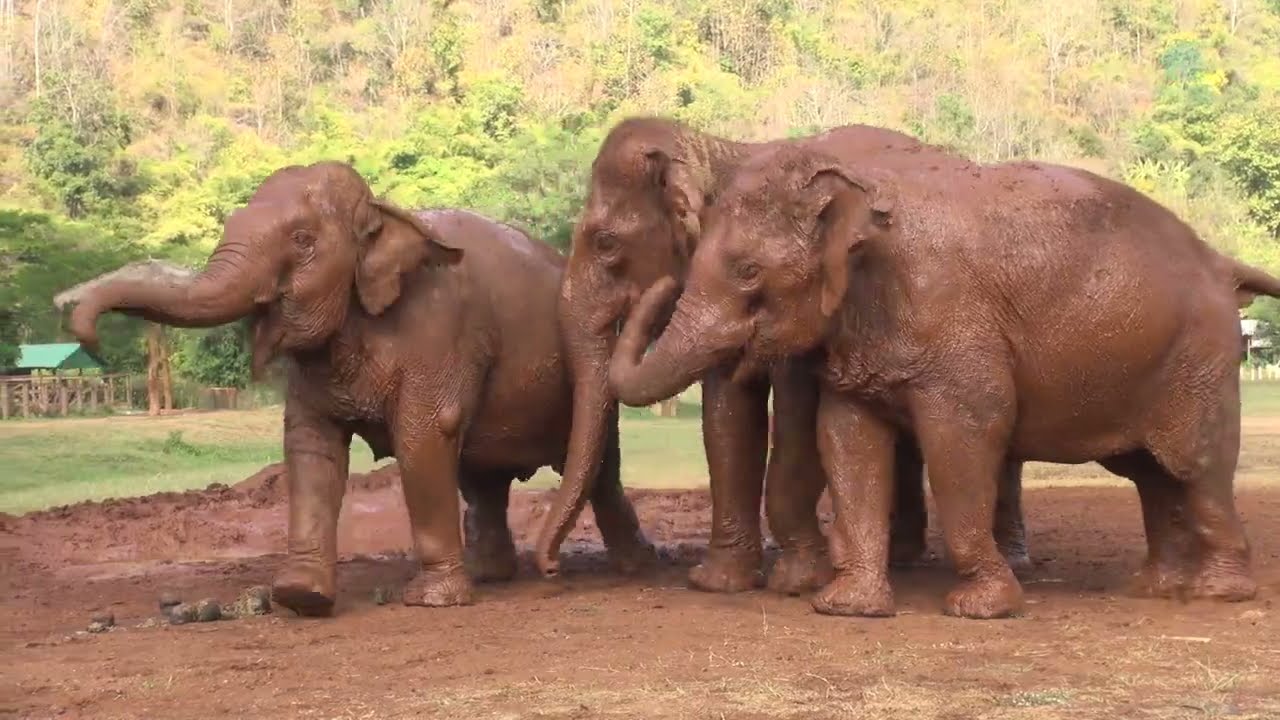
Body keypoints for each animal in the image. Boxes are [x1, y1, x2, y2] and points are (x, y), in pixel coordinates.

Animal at [63, 161, 654, 616]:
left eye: (302, 241)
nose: (83, 330)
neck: (383, 212)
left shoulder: (441, 330)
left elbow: (423, 437)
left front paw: (431, 601)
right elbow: (310, 448)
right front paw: (301, 597)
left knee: (601, 471)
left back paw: (630, 567)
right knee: (482, 478)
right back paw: (490, 575)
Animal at [542, 116, 1030, 596]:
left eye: (605, 243)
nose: (550, 569)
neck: (720, 149)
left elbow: (797, 419)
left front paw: (797, 580)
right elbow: (727, 414)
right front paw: (720, 582)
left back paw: (1005, 560)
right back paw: (904, 556)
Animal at [608, 141, 1277, 619]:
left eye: (748, 271)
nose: (655, 283)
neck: (857, 195)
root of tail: (1221, 263)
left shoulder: (956, 326)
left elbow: (964, 436)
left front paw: (981, 610)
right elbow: (847, 438)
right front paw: (848, 609)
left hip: (1201, 360)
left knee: (1196, 467)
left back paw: (1216, 595)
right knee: (1150, 474)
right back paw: (1153, 590)